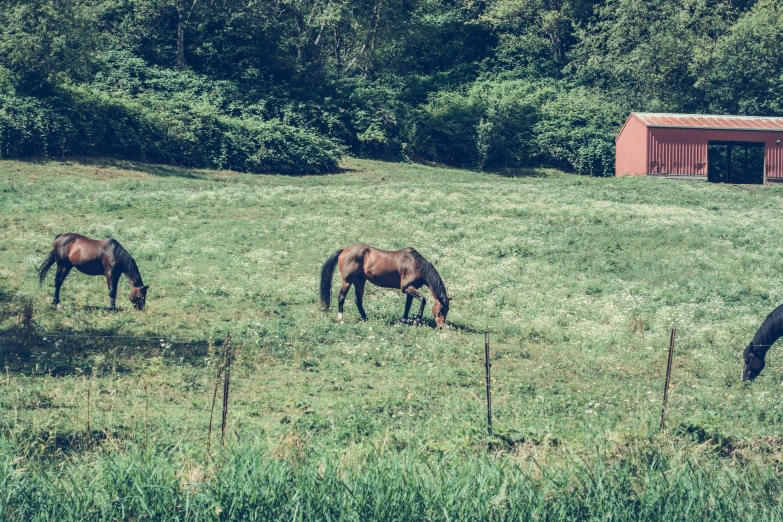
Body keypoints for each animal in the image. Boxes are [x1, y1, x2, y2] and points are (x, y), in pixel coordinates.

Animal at [320, 246, 454, 328]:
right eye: (441, 309)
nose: (441, 327)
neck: (415, 264)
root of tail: (344, 250)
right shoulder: (408, 288)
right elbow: (423, 299)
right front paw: (417, 320)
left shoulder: (409, 289)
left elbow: (408, 306)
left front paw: (404, 321)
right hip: (347, 281)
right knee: (341, 297)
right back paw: (341, 319)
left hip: (360, 281)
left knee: (358, 300)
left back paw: (365, 318)